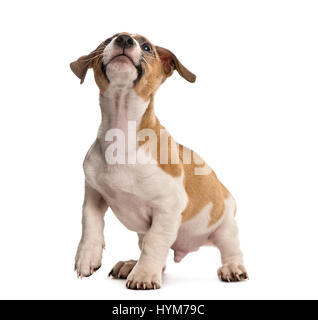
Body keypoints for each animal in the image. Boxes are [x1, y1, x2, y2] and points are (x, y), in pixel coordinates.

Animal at [71, 32, 247, 290]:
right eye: (107, 40)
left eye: (146, 47)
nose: (124, 39)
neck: (122, 133)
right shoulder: (94, 196)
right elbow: (91, 225)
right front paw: (87, 257)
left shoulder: (167, 208)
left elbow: (154, 243)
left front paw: (143, 275)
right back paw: (131, 265)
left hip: (225, 226)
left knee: (231, 248)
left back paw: (232, 268)